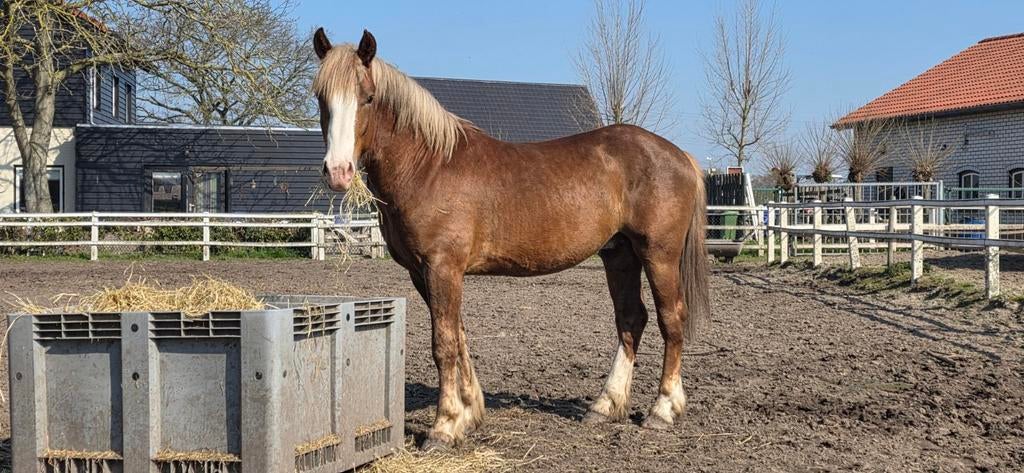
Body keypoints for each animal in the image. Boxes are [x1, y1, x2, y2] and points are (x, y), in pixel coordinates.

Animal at [312, 28, 710, 449]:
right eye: (321, 97)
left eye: (368, 97)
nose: (338, 172)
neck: (429, 166)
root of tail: (680, 155)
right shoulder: (423, 274)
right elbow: (460, 336)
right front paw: (468, 414)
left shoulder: (442, 267)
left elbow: (444, 344)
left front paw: (443, 426)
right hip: (619, 255)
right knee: (631, 319)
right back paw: (605, 406)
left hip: (659, 256)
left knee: (671, 319)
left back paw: (662, 410)